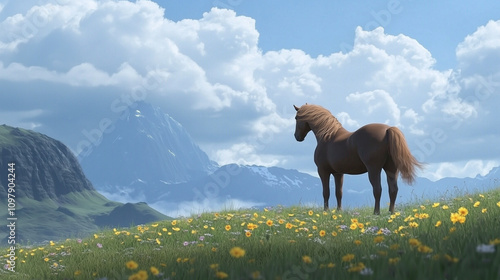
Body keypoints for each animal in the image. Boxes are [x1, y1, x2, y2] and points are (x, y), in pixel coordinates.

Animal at [292, 104, 422, 214]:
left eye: (296, 118)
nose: (297, 137)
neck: (327, 136)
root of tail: (387, 129)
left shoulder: (323, 171)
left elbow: (326, 192)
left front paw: (326, 211)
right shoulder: (338, 173)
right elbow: (339, 193)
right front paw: (339, 211)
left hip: (374, 169)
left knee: (377, 189)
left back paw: (376, 213)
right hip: (391, 169)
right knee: (393, 190)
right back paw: (391, 213)